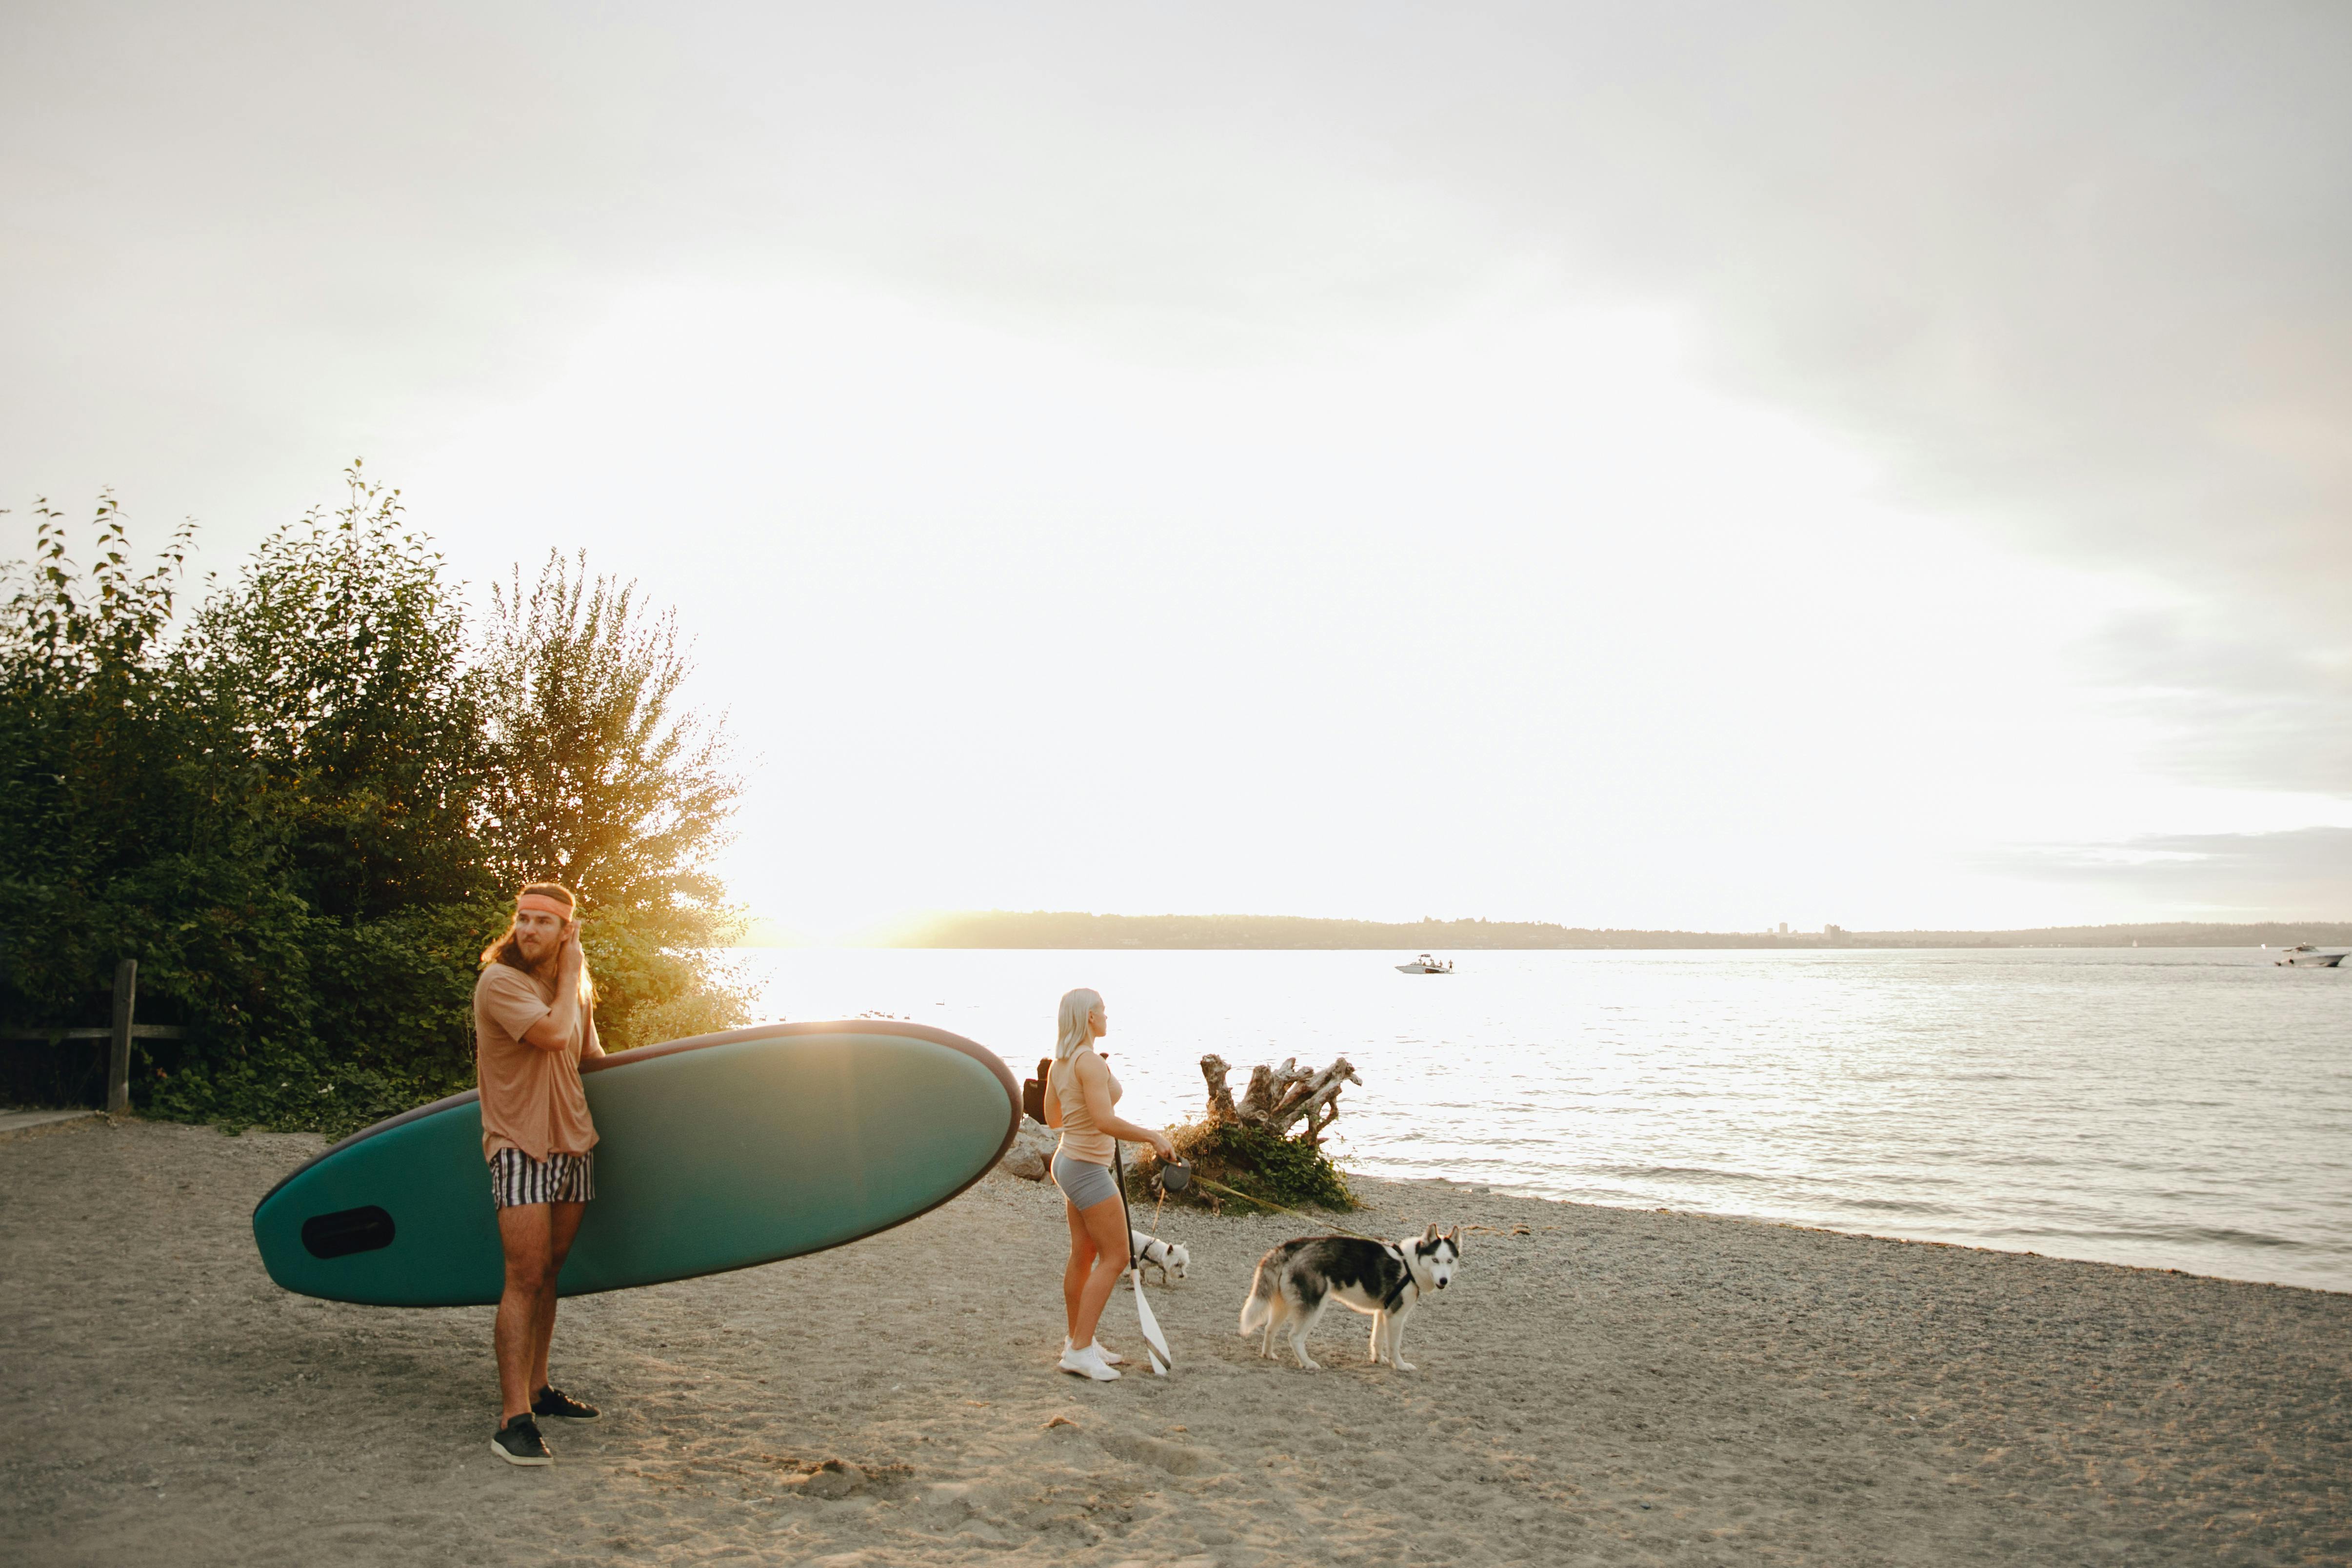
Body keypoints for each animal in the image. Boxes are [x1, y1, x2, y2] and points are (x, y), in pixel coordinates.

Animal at [1129, 1222, 1185, 1288]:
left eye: (1183, 1264)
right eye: (1177, 1264)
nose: (1182, 1276)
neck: (1161, 1253)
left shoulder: (1160, 1264)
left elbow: (1165, 1272)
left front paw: (1165, 1281)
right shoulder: (1142, 1265)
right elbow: (1144, 1276)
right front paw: (1146, 1284)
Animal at [1242, 1222, 1458, 1372]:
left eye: (1449, 1261)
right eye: (1435, 1260)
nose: (1444, 1280)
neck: (1410, 1265)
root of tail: (1290, 1247)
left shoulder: (1383, 1314)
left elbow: (1377, 1341)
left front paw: (1378, 1360)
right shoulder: (1396, 1318)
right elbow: (1394, 1347)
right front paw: (1400, 1365)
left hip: (1283, 1306)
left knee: (1270, 1329)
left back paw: (1268, 1354)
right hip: (1314, 1308)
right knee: (1294, 1337)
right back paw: (1308, 1363)